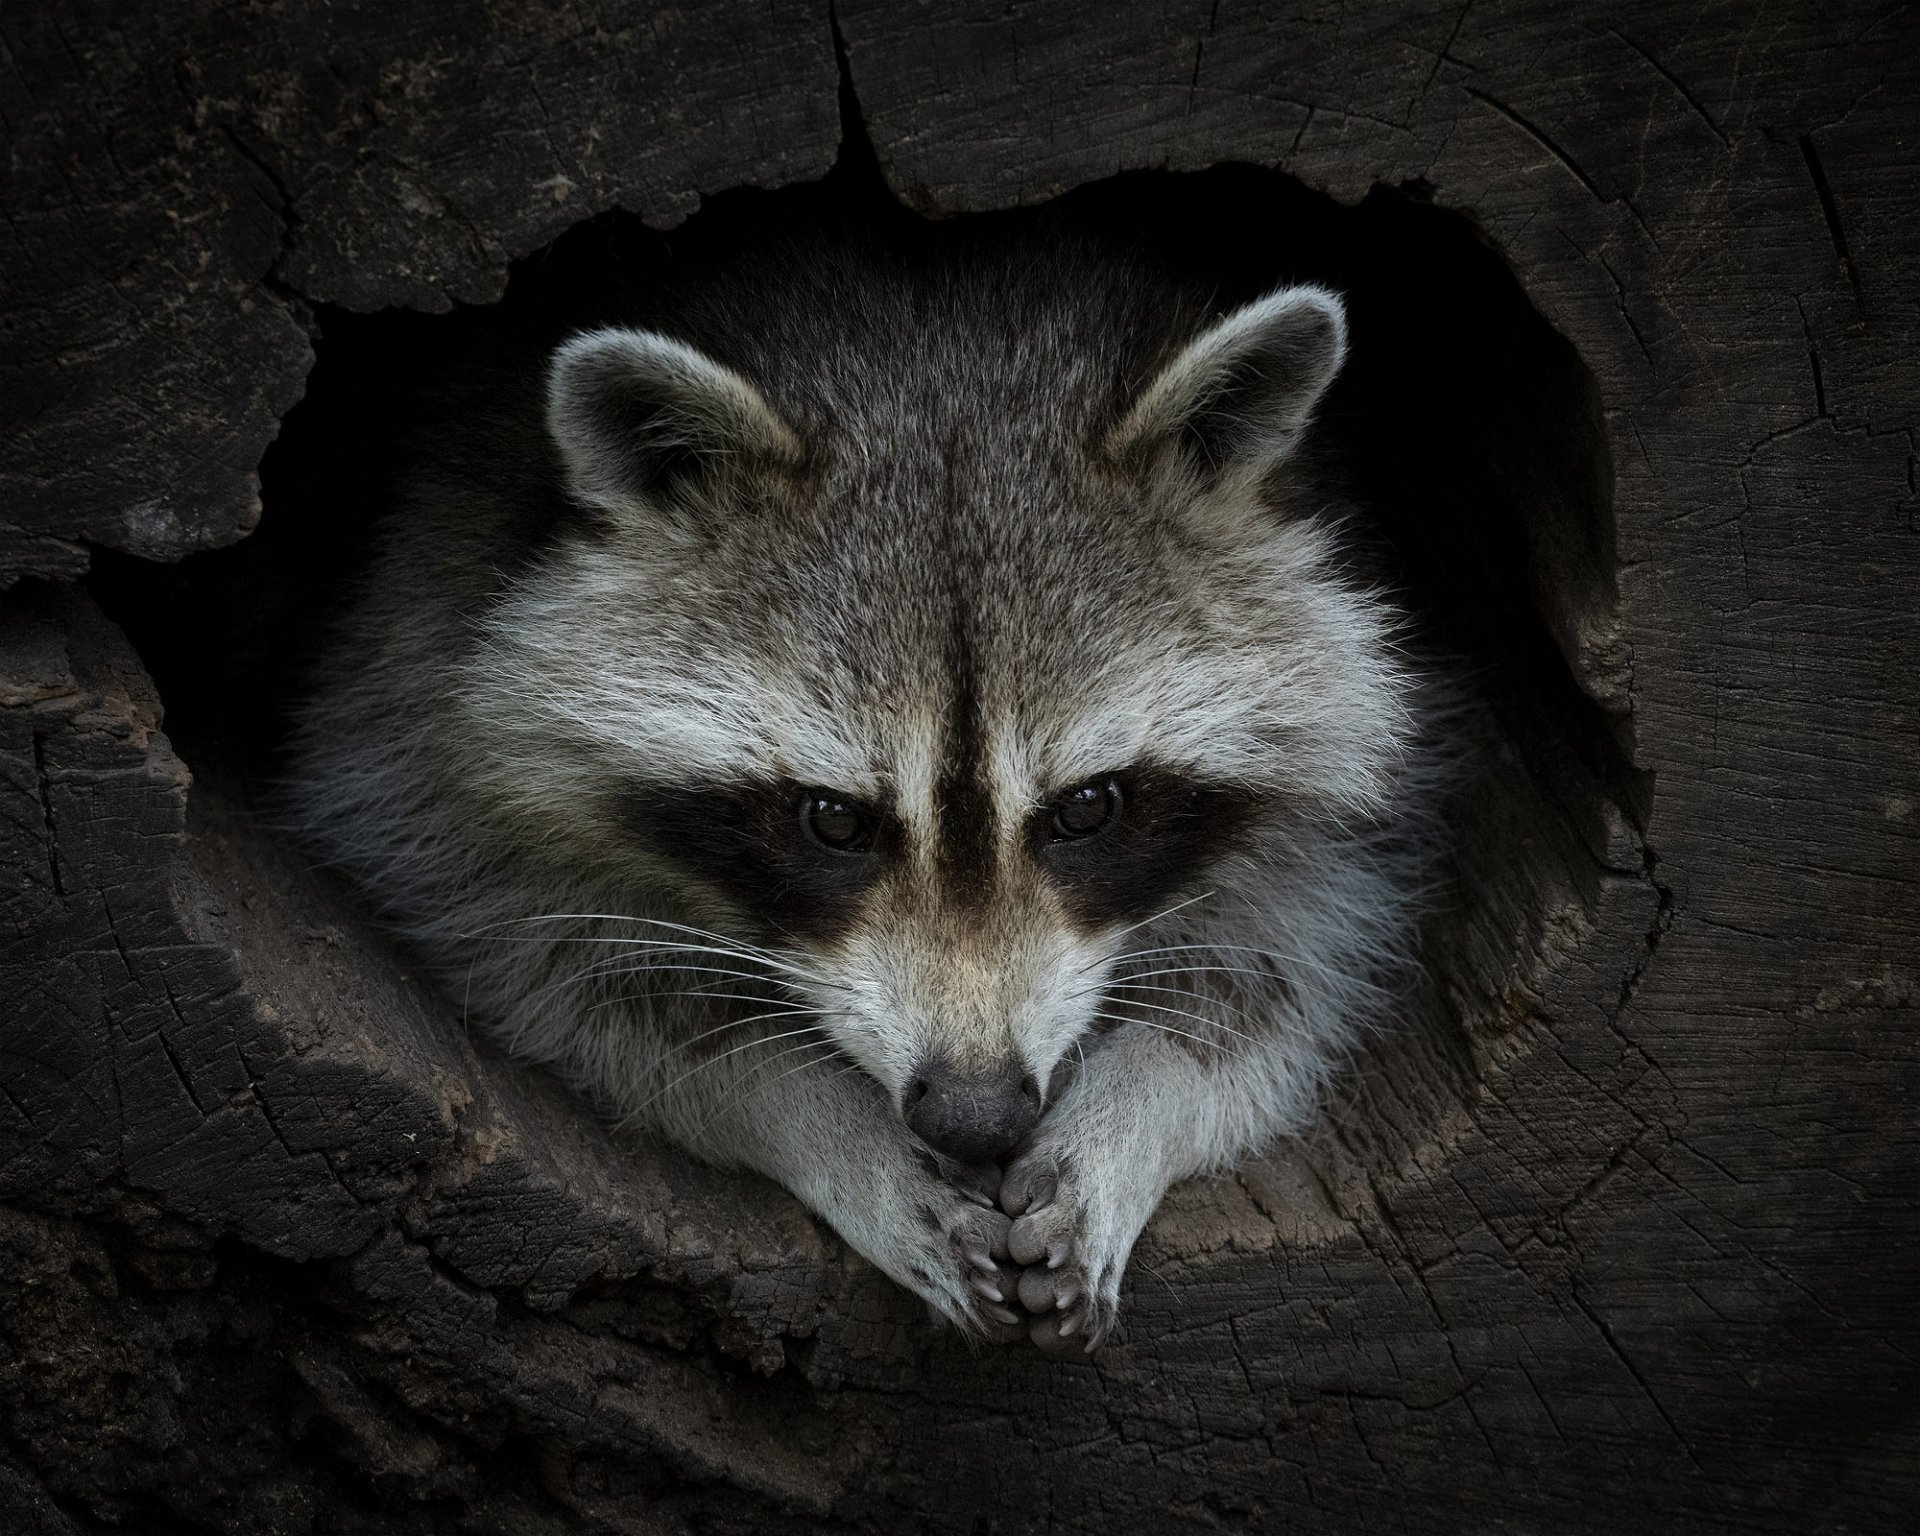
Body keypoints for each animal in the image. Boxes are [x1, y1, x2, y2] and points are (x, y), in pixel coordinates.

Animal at [288, 225, 1437, 1351]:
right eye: (834, 821)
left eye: (1088, 809)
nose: (975, 1115)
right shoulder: (422, 703)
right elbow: (572, 980)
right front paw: (824, 1124)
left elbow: (1282, 984)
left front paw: (1133, 1114)